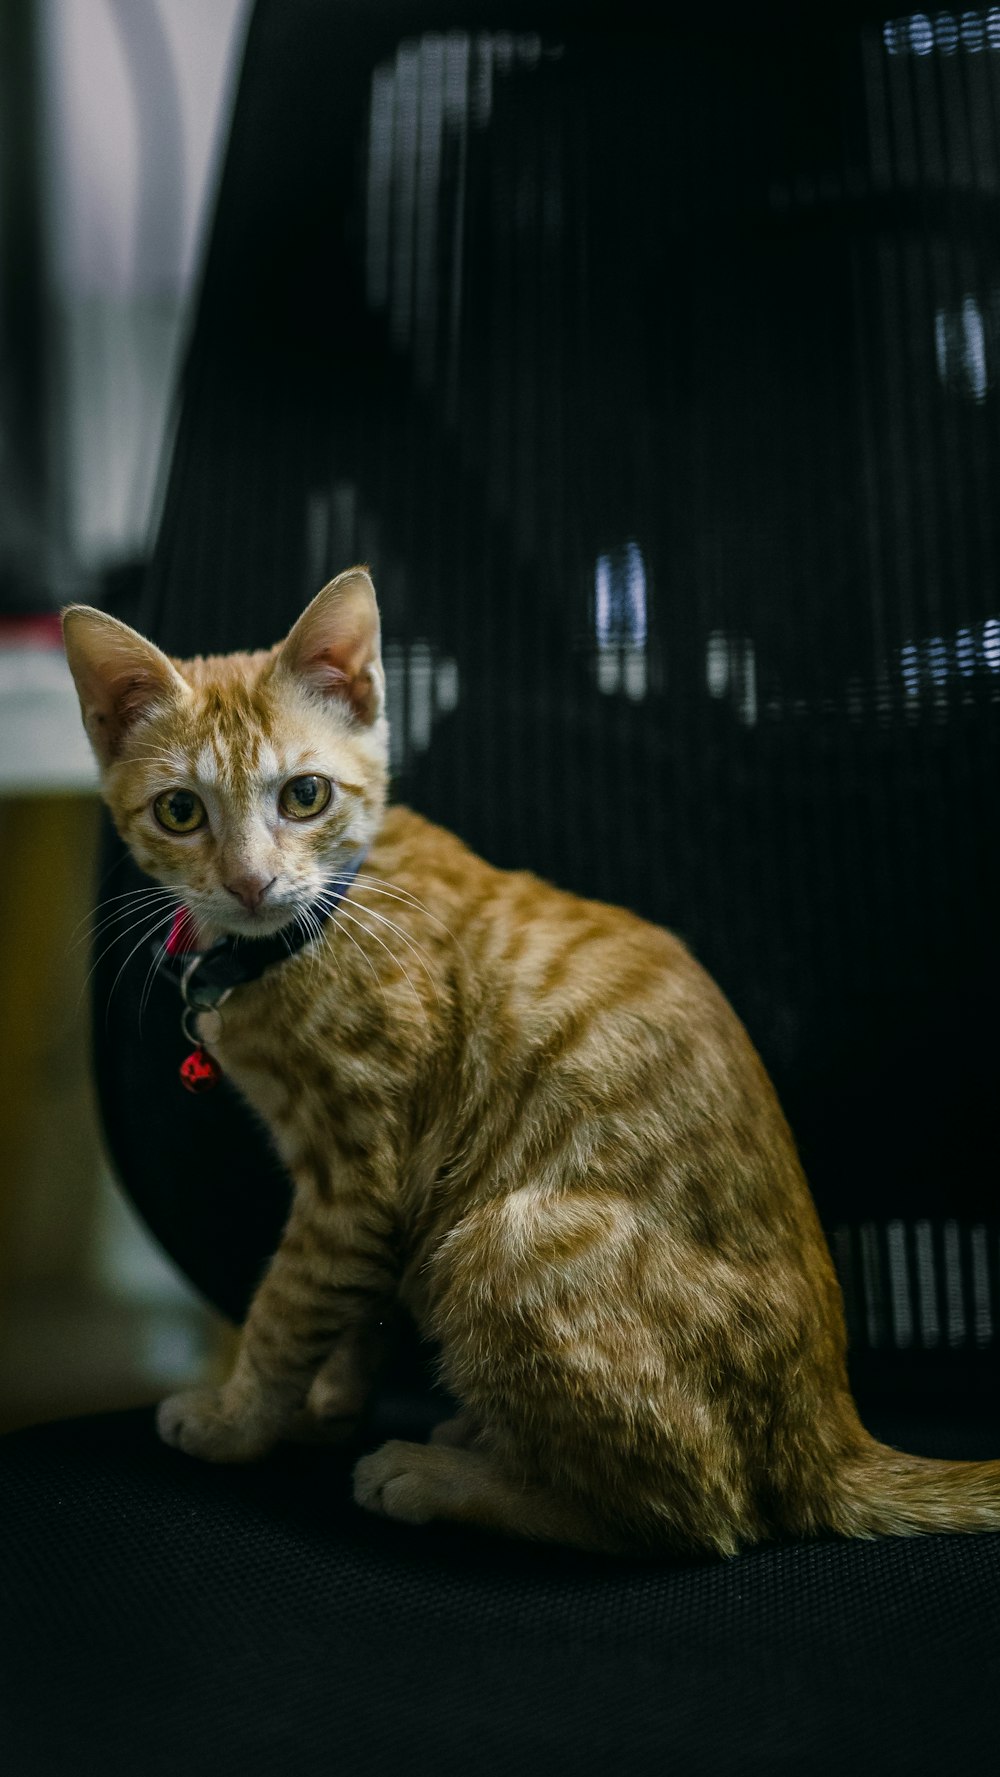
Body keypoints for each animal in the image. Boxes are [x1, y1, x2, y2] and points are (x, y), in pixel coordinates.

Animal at [62, 572, 1000, 1556]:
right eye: (180, 810)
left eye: (305, 794)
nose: (249, 882)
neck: (316, 923)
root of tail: (830, 1430)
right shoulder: (363, 1208)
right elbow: (350, 1304)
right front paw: (326, 1403)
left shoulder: (354, 1175)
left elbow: (288, 1305)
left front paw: (237, 1419)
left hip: (498, 1246)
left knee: (691, 1515)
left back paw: (443, 1476)